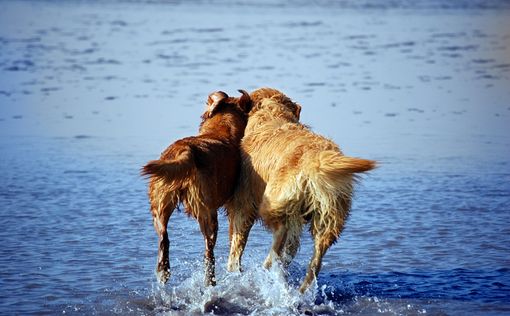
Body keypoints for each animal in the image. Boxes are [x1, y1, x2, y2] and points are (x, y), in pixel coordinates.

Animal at [141, 89, 251, 286]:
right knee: (209, 252)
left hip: (160, 202)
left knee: (164, 237)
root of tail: (185, 151)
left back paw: (163, 271)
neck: (221, 129)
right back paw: (210, 281)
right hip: (208, 212)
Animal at [225, 87, 376, 292]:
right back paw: (301, 287)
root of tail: (314, 160)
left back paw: (269, 263)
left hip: (273, 201)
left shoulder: (245, 202)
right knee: (314, 258)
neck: (271, 114)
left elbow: (237, 242)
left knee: (280, 232)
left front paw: (233, 269)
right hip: (330, 216)